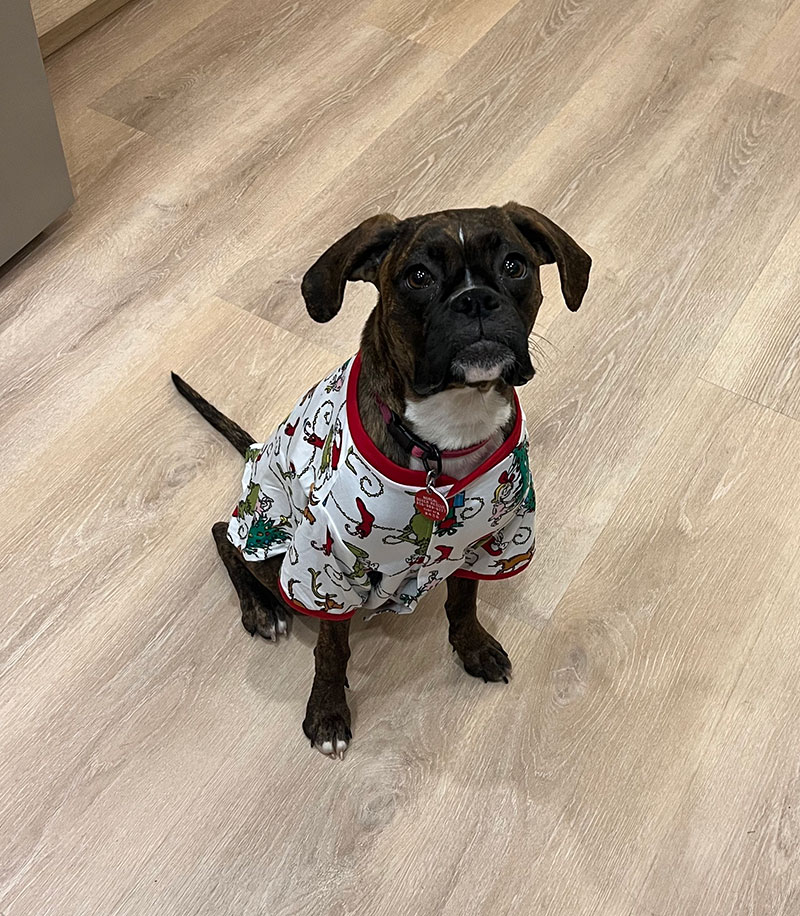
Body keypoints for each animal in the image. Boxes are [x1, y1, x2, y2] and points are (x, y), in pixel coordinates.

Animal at [172, 203, 591, 758]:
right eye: (418, 277)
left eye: (514, 266)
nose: (475, 299)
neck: (448, 431)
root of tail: (256, 451)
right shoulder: (327, 564)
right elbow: (331, 649)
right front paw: (327, 712)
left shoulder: (490, 541)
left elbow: (464, 602)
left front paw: (474, 649)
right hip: (274, 546)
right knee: (224, 534)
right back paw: (262, 610)